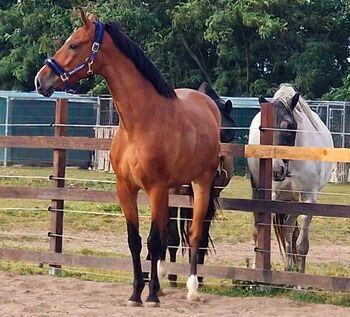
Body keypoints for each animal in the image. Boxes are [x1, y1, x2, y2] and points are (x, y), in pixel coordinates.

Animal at [34, 11, 220, 304]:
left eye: (74, 45)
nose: (40, 80)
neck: (140, 124)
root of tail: (207, 102)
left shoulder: (155, 188)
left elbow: (154, 240)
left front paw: (151, 295)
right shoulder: (126, 189)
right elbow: (136, 240)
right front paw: (136, 293)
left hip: (201, 183)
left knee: (194, 234)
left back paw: (191, 288)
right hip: (175, 189)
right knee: (171, 235)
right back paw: (164, 283)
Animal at [246, 84, 334, 272]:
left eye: (290, 127)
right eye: (263, 129)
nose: (276, 169)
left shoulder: (308, 199)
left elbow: (301, 244)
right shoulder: (270, 197)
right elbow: (264, 231)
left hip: (294, 201)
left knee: (288, 228)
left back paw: (290, 264)